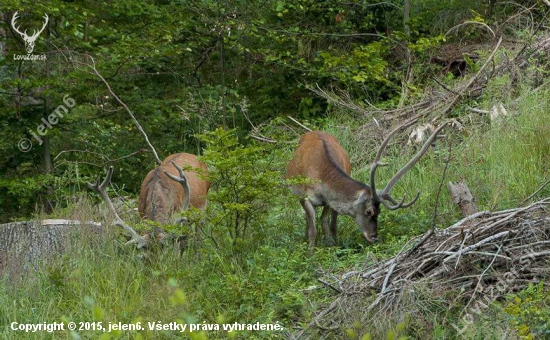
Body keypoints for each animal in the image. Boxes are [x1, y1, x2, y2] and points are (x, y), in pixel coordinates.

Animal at [286, 120, 446, 247]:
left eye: (380, 212)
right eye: (369, 211)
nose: (374, 237)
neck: (322, 176)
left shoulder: (329, 201)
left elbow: (328, 223)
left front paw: (333, 245)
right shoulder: (305, 197)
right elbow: (313, 229)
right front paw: (311, 253)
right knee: (308, 221)